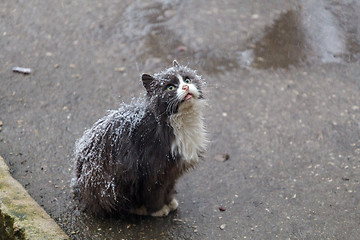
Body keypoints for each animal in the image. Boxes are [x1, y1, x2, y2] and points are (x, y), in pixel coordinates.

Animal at [73, 60, 207, 218]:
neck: (179, 121)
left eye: (187, 80)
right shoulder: (153, 171)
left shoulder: (172, 172)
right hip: (114, 183)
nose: (186, 87)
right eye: (170, 87)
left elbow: (168, 188)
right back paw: (139, 209)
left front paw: (170, 202)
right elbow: (154, 193)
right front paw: (158, 210)